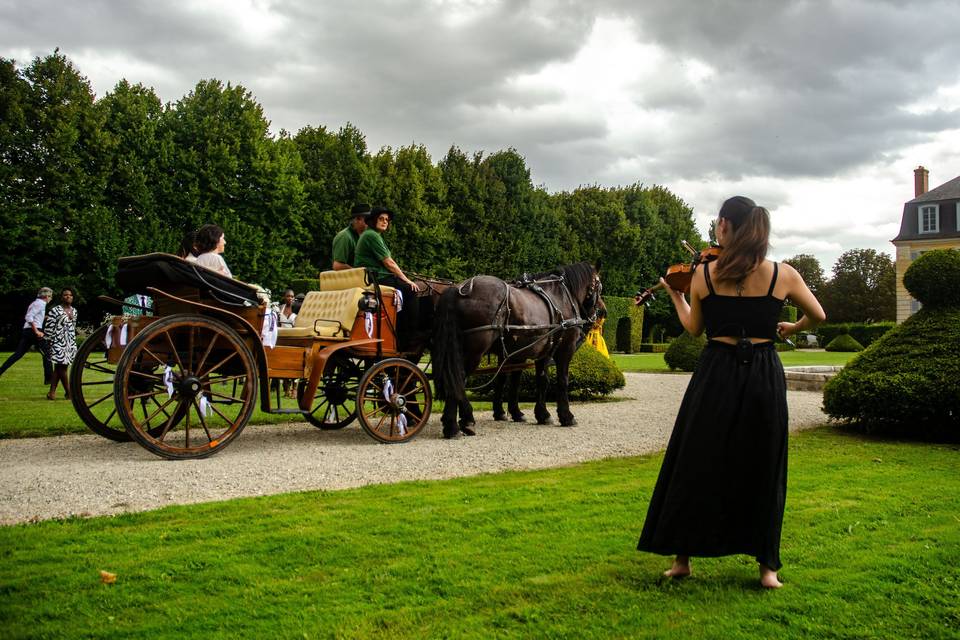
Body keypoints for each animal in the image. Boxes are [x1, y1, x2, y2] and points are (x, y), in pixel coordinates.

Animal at [434, 262, 604, 438]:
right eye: (599, 287)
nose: (601, 312)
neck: (562, 297)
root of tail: (456, 289)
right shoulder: (565, 350)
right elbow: (562, 381)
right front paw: (566, 416)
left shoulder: (542, 353)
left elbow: (540, 381)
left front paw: (541, 414)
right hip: (474, 351)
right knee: (458, 379)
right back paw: (456, 425)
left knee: (454, 379)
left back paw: (455, 421)